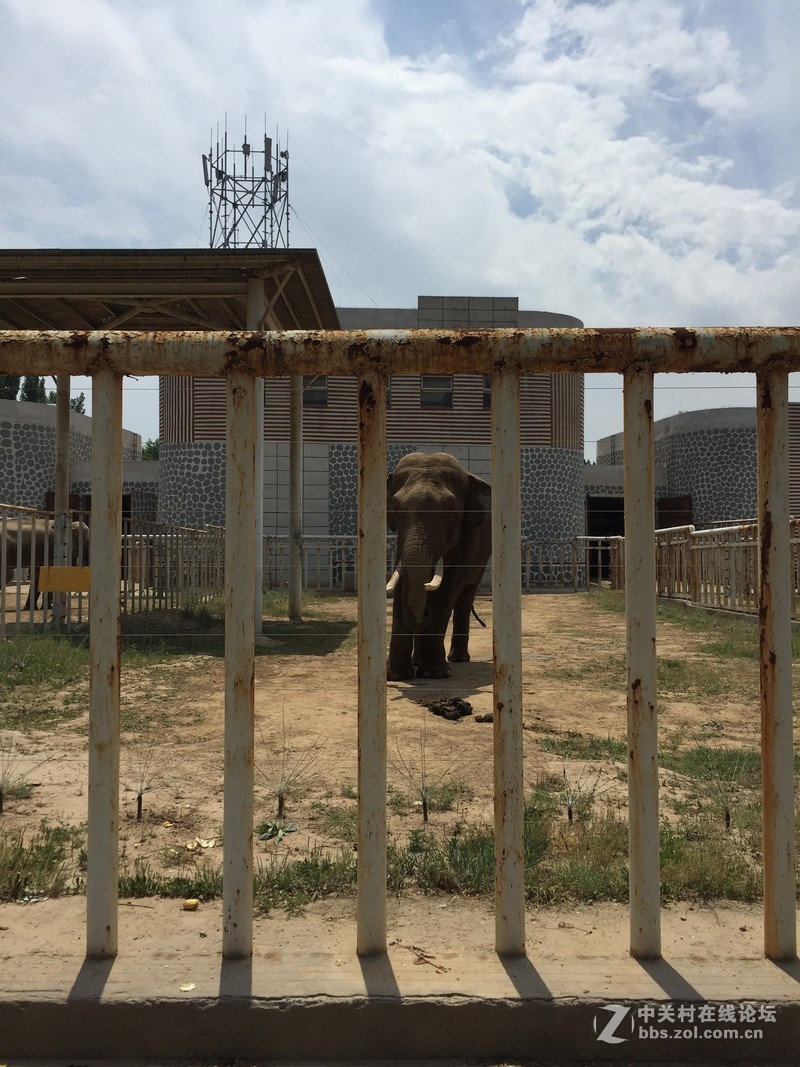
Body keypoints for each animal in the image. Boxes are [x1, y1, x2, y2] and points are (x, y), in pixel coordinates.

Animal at [386, 454, 492, 678]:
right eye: (396, 507)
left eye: (450, 510)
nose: (426, 612)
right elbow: (401, 584)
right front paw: (396, 676)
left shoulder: (468, 538)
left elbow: (448, 589)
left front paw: (436, 674)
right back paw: (417, 661)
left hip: (483, 557)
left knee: (464, 599)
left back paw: (457, 659)